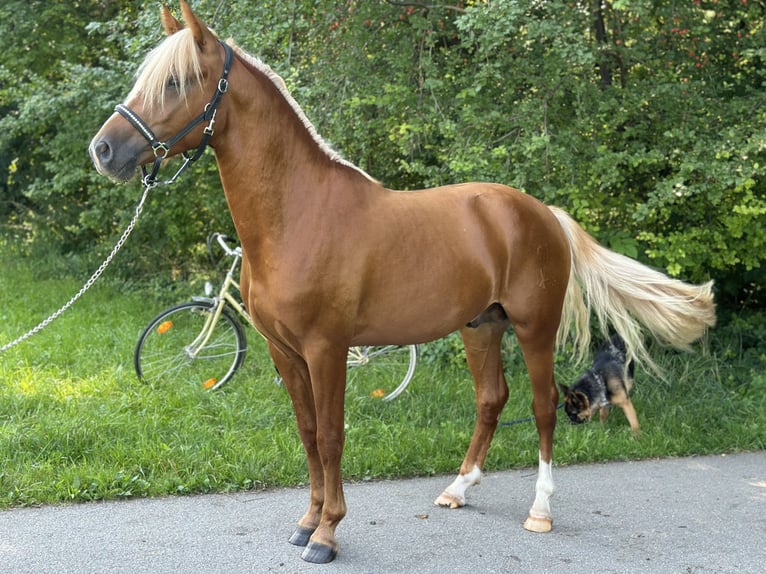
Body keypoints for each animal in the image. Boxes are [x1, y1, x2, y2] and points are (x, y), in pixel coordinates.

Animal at [91, 1, 720, 568]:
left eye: (176, 81)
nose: (104, 150)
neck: (298, 214)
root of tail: (542, 213)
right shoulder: (284, 350)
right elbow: (307, 431)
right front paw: (305, 523)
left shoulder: (327, 349)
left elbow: (331, 436)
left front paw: (327, 534)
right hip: (480, 327)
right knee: (491, 399)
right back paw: (457, 490)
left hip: (533, 328)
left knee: (543, 406)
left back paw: (540, 511)